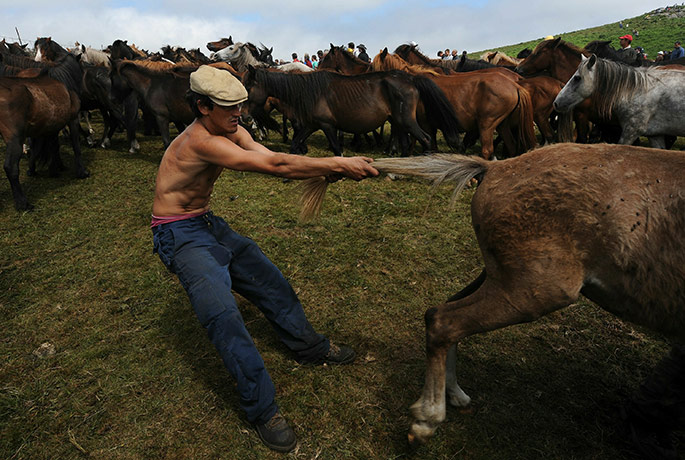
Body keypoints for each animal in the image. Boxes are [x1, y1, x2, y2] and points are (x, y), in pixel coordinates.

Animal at [242, 66, 462, 156]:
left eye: (248, 87)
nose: (244, 116)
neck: (310, 91)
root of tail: (410, 78)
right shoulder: (312, 125)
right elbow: (295, 144)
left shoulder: (327, 125)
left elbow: (337, 149)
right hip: (399, 123)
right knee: (406, 143)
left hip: (406, 121)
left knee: (426, 139)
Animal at [308, 144, 685, 453]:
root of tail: (496, 167)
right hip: (532, 290)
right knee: (444, 321)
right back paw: (427, 419)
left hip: (498, 276)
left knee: (438, 313)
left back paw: (455, 394)